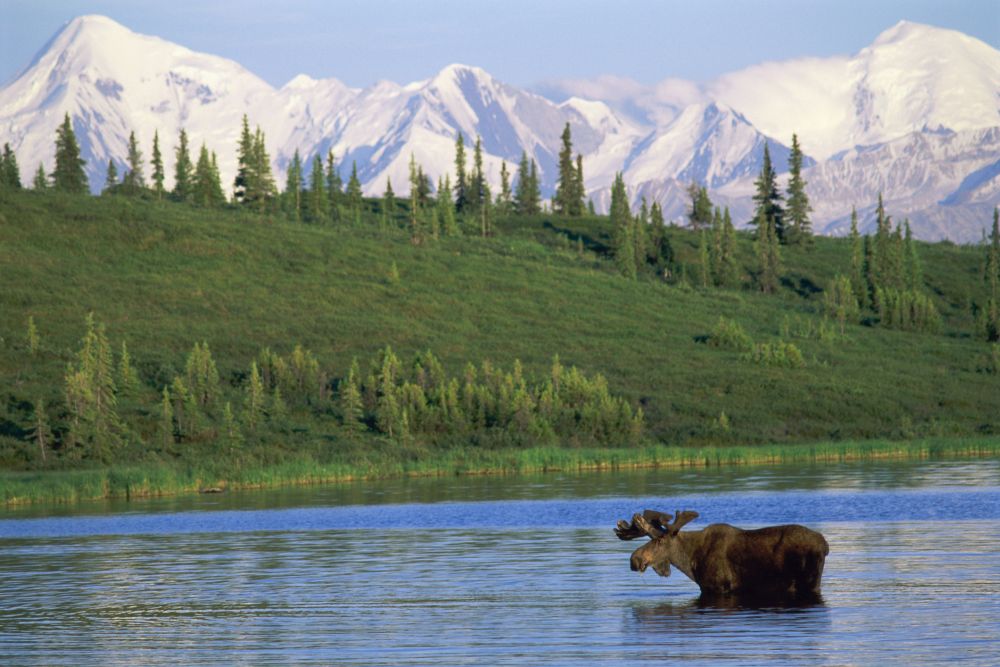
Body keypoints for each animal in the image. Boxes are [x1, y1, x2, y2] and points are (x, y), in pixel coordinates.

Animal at [616, 508, 828, 604]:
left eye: (660, 541)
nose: (634, 559)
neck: (690, 562)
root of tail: (825, 545)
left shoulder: (717, 588)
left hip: (810, 580)